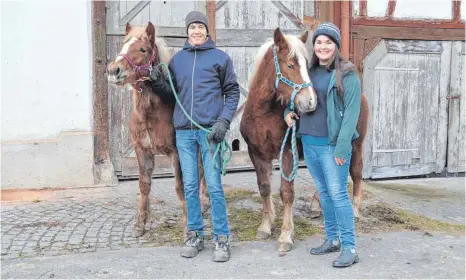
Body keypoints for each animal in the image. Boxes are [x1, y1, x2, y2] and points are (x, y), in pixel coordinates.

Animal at [106, 22, 208, 238]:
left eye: (143, 49)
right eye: (123, 45)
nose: (113, 70)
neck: (152, 114)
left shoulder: (177, 152)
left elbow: (180, 187)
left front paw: (189, 228)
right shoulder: (142, 150)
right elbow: (144, 185)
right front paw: (140, 224)